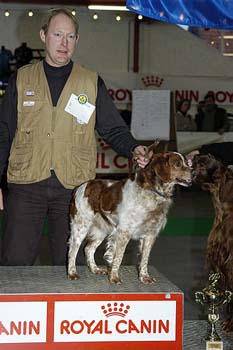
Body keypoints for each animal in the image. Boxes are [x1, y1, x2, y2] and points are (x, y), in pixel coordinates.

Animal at [67, 144, 191, 284]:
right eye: (178, 164)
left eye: (187, 162)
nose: (193, 172)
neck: (152, 192)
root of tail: (79, 187)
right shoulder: (124, 232)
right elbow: (118, 257)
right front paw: (114, 277)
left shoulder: (150, 234)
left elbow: (144, 258)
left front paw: (144, 277)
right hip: (80, 227)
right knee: (72, 250)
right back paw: (72, 273)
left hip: (101, 229)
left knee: (88, 249)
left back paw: (95, 269)